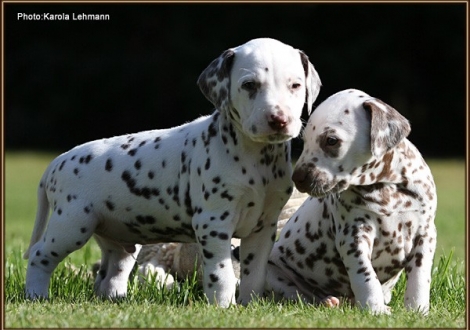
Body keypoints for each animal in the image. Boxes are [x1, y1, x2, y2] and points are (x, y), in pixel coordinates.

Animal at [23, 38, 322, 306]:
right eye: (249, 85)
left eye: (295, 85)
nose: (279, 119)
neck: (256, 159)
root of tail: (57, 162)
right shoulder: (214, 224)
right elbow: (222, 274)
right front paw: (224, 307)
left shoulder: (262, 229)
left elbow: (255, 274)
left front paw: (249, 305)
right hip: (72, 225)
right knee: (40, 256)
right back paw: (37, 295)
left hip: (115, 237)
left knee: (112, 270)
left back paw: (115, 299)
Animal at [266, 88, 438, 314]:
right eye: (305, 140)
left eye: (331, 140)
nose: (297, 178)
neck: (386, 188)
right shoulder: (353, 235)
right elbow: (366, 276)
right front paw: (375, 309)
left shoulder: (425, 234)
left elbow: (419, 278)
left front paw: (417, 310)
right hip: (275, 274)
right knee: (298, 296)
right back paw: (327, 301)